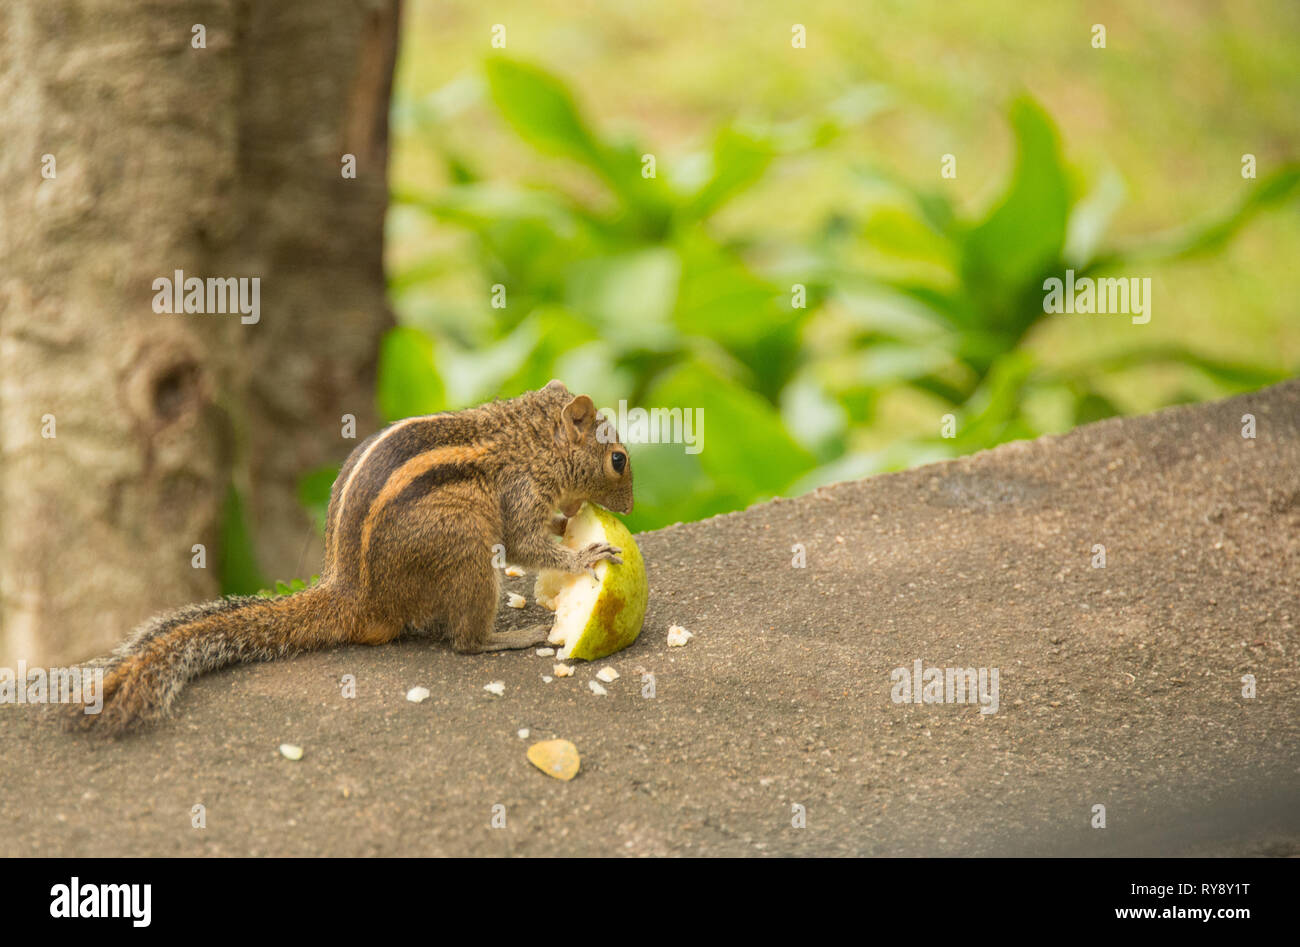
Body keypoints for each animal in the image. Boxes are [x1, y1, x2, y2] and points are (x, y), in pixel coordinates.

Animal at [65, 379, 634, 733]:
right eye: (618, 460)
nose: (630, 507)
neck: (530, 439)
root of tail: (353, 594)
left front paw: (568, 525)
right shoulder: (518, 491)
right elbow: (524, 544)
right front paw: (585, 554)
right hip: (467, 548)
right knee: (465, 642)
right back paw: (509, 637)